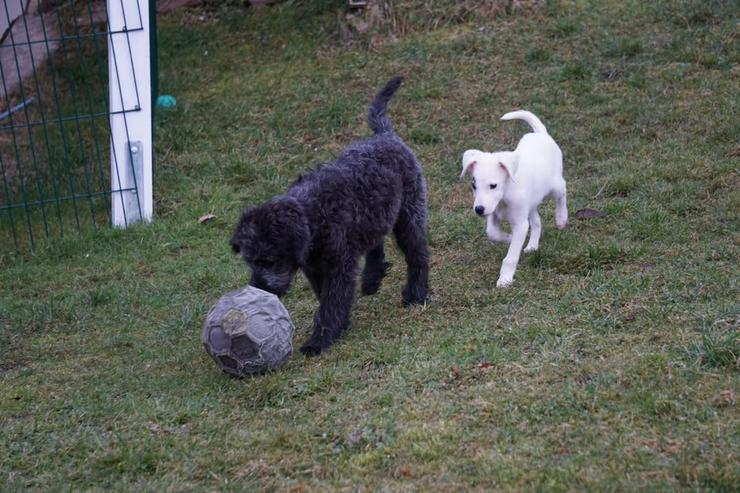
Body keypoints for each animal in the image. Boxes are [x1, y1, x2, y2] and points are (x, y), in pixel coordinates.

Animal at [230, 76, 428, 354]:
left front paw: (320, 340)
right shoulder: (315, 268)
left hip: (409, 216)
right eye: (250, 261)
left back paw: (416, 293)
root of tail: (386, 136)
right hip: (377, 216)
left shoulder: (339, 265)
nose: (260, 289)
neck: (314, 215)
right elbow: (325, 296)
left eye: (268, 260)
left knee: (417, 254)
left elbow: (331, 301)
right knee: (376, 244)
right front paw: (338, 327)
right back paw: (372, 278)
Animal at [462, 110, 568, 288]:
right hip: (531, 204)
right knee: (537, 222)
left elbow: (511, 257)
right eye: (473, 185)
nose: (479, 210)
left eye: (493, 185)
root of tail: (541, 134)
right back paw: (532, 245)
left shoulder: (520, 223)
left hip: (555, 186)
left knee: (562, 193)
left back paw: (561, 218)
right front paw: (508, 238)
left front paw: (505, 279)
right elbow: (492, 233)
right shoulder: (494, 214)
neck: (505, 196)